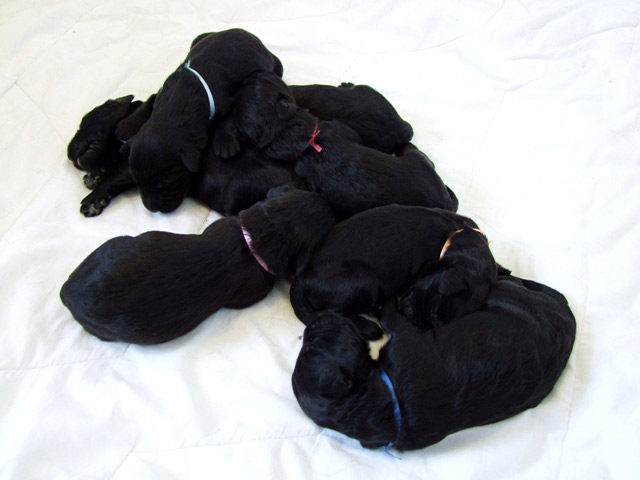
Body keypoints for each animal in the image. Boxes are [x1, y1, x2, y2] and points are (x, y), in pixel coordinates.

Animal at [125, 29, 283, 213]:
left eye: (163, 185)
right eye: (136, 181)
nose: (151, 209)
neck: (177, 104)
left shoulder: (227, 99)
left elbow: (226, 117)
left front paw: (225, 144)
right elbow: (151, 98)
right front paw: (129, 124)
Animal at [292, 274, 576, 451]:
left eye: (310, 345)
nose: (312, 324)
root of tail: (569, 316)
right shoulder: (407, 336)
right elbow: (391, 314)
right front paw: (388, 301)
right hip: (508, 293)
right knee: (510, 281)